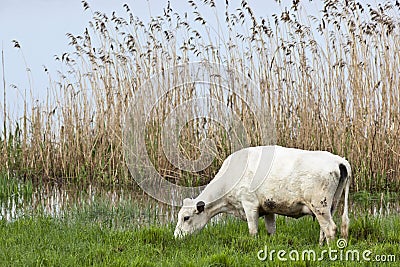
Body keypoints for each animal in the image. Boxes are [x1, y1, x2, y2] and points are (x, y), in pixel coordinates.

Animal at [173, 146, 352, 246]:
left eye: (186, 218)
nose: (176, 237)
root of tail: (339, 160)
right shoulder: (268, 207)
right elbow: (271, 230)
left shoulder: (249, 204)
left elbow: (253, 231)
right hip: (330, 205)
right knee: (324, 228)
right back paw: (320, 246)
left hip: (319, 205)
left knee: (330, 228)